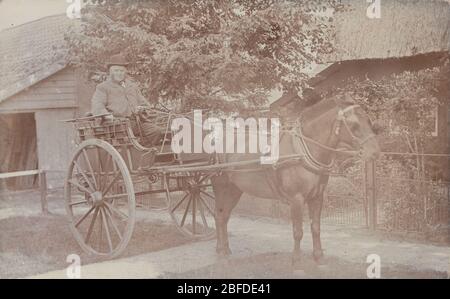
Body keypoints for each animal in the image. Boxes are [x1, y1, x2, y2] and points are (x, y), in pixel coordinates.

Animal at [211, 95, 380, 268]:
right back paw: (220, 250)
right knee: (218, 215)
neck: (303, 151)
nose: (375, 152)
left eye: (369, 121)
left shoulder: (317, 197)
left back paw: (225, 249)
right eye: (354, 125)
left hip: (234, 190)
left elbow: (316, 227)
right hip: (220, 187)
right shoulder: (296, 199)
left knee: (224, 216)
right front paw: (297, 261)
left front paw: (318, 257)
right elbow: (298, 231)